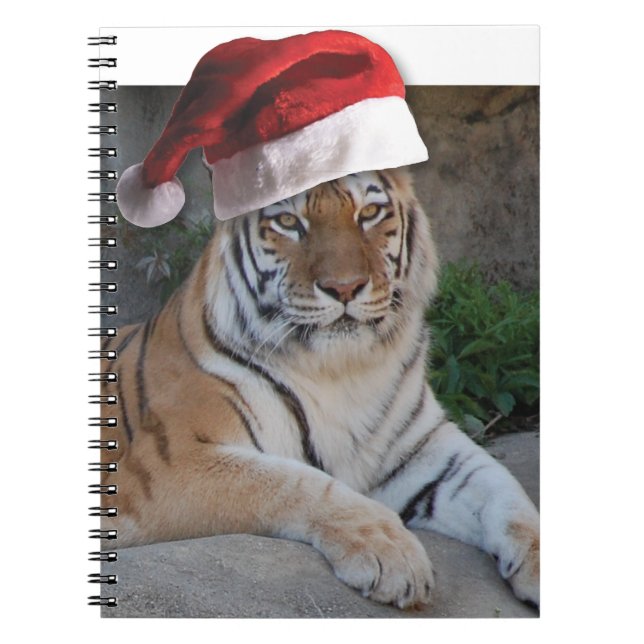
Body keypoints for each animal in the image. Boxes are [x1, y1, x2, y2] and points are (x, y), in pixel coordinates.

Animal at [101, 167, 540, 610]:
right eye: (288, 222)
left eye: (370, 213)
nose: (344, 287)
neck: (343, 369)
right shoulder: (165, 464)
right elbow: (295, 483)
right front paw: (393, 554)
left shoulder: (425, 448)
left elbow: (504, 488)